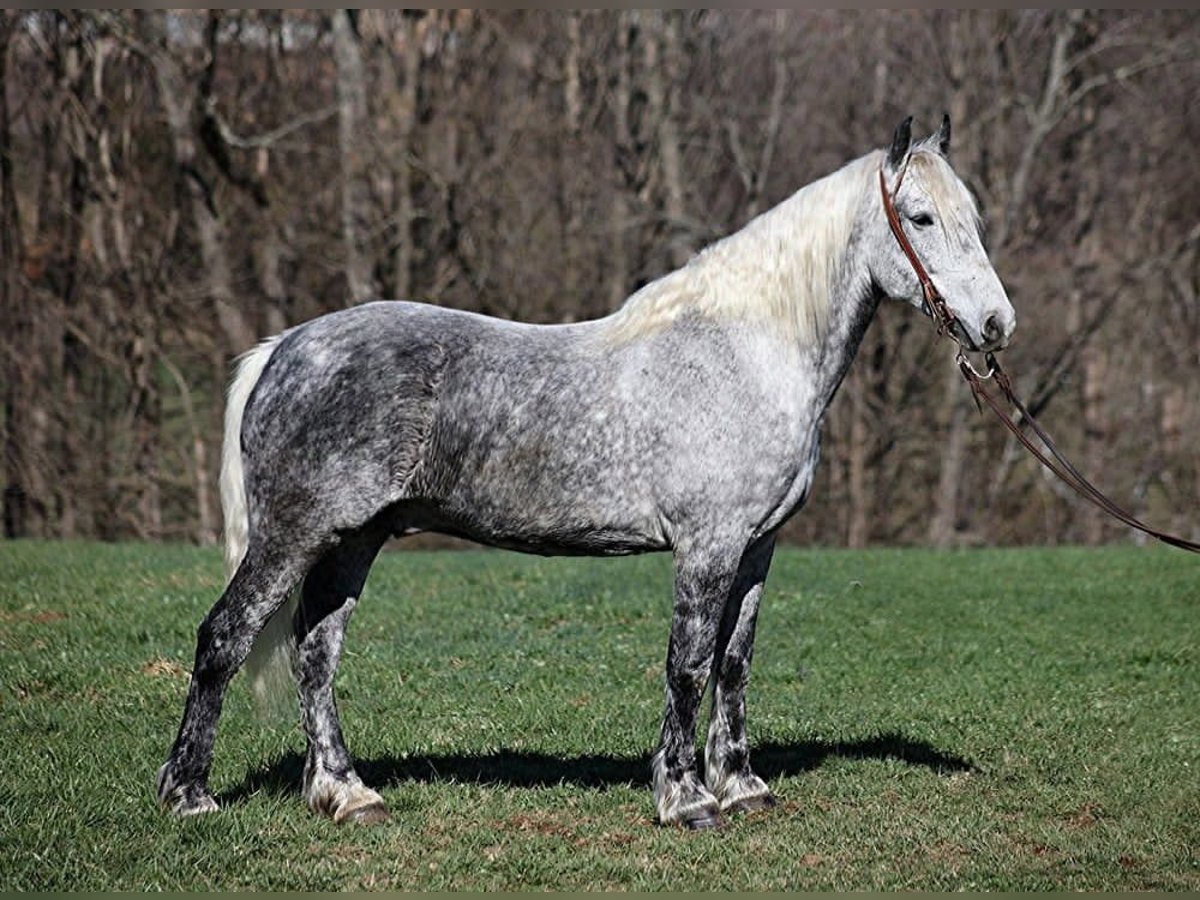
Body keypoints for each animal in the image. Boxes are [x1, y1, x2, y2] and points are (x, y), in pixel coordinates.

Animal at [157, 115, 1015, 830]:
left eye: (973, 217)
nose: (996, 324)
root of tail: (285, 349)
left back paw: (347, 794)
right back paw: (190, 796)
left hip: (351, 540)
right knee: (225, 638)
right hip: (294, 535)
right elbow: (687, 665)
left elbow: (734, 664)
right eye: (921, 217)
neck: (746, 352)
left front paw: (742, 787)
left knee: (315, 655)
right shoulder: (707, 548)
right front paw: (685, 799)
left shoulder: (757, 547)